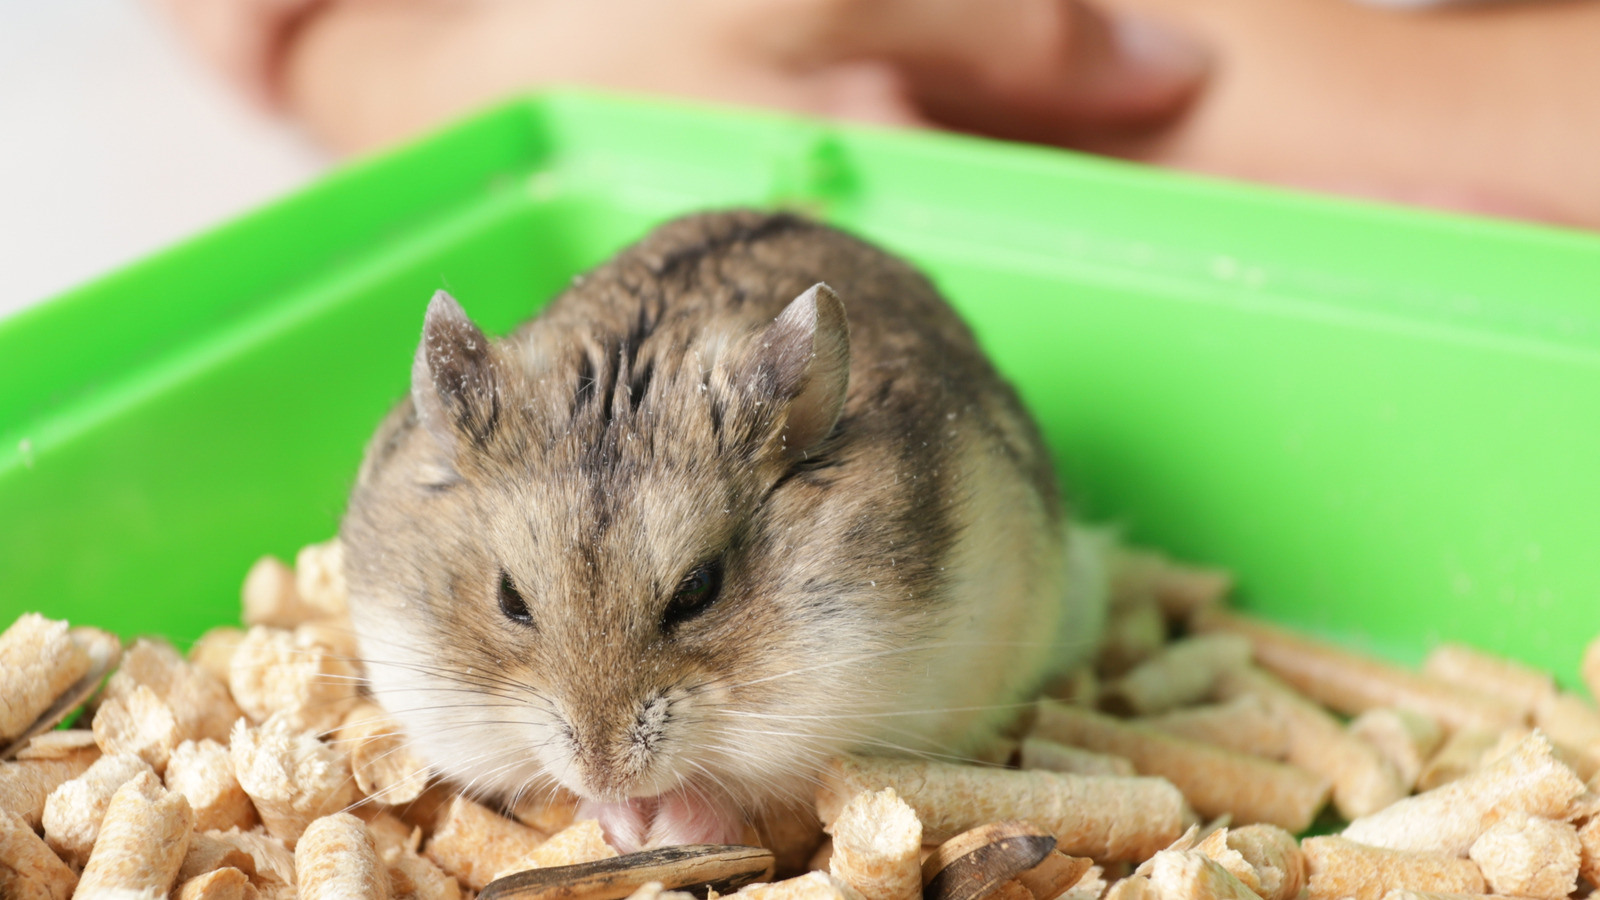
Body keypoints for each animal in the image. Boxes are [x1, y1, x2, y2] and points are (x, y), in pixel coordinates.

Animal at [340, 210, 1108, 851]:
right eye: (508, 598)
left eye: (698, 590)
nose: (606, 774)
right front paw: (619, 822)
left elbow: (739, 789)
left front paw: (671, 824)